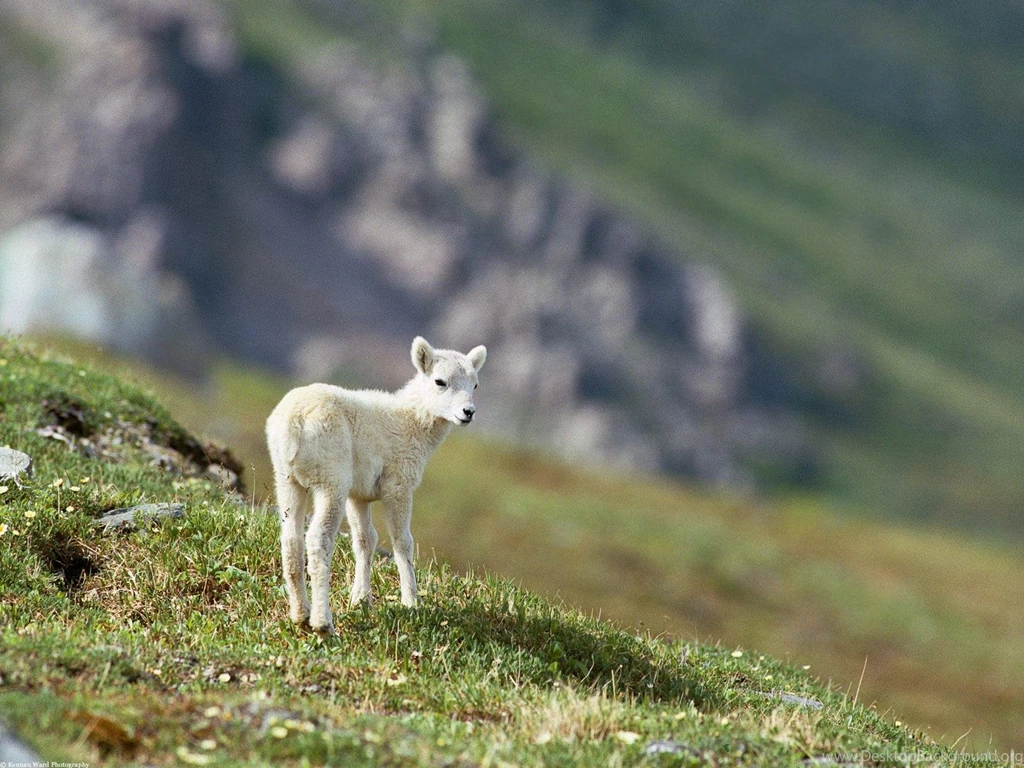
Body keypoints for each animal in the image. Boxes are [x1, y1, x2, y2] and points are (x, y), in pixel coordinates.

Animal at [266, 337, 486, 633]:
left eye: (474, 385)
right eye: (440, 381)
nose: (467, 413)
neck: (412, 422)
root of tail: (294, 423)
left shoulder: (359, 495)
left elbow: (365, 540)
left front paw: (361, 600)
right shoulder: (399, 486)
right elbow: (402, 542)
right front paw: (411, 602)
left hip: (287, 479)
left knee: (291, 540)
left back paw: (301, 615)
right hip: (331, 480)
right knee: (318, 539)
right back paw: (323, 623)